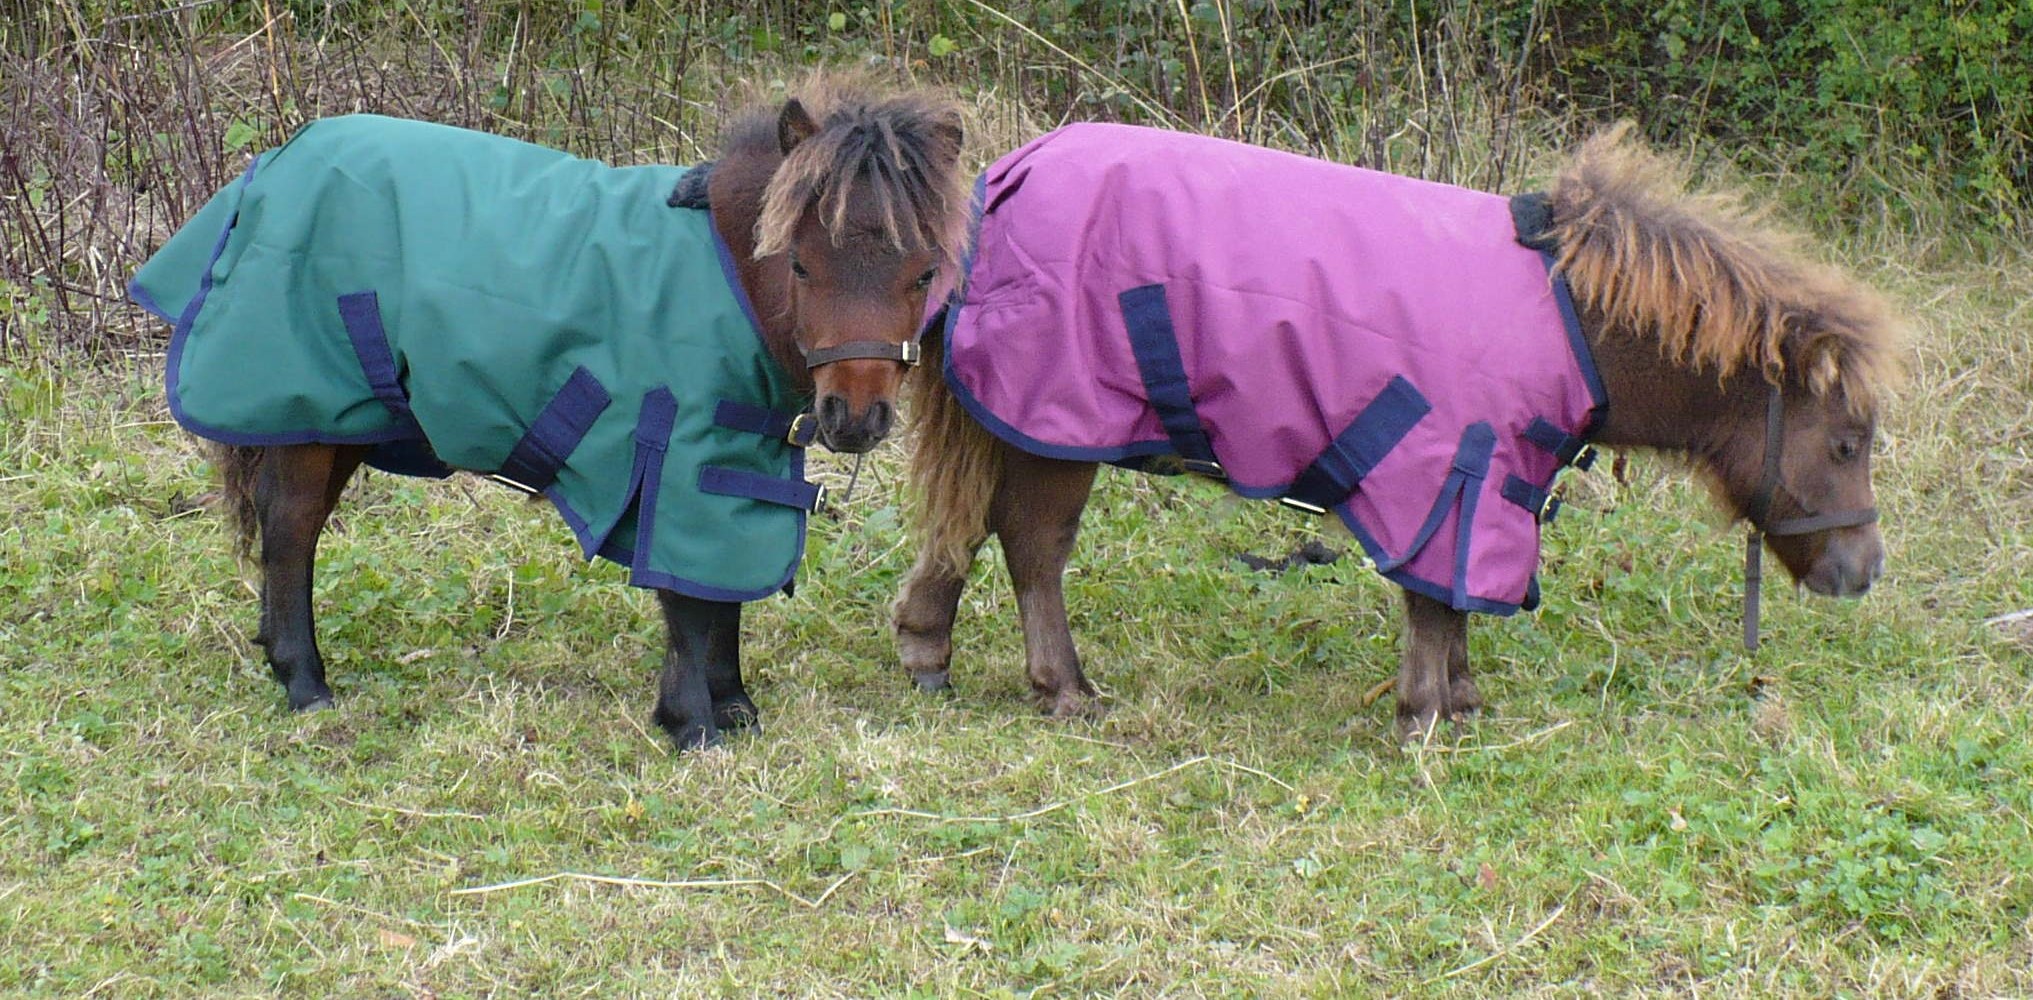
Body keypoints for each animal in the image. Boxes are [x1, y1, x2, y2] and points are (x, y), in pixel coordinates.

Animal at [130, 77, 968, 751]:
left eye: (924, 271)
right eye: (800, 264)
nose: (854, 417)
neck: (724, 267)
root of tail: (270, 166)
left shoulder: (735, 457)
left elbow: (722, 587)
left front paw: (733, 707)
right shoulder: (674, 455)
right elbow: (684, 597)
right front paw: (692, 724)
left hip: (336, 420)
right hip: (306, 404)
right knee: (292, 527)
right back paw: (306, 682)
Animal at [894, 122, 1902, 738]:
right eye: (1844, 444)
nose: (1863, 572)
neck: (1571, 320)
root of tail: (1003, 181)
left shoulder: (1486, 484)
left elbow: (1455, 598)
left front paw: (1458, 700)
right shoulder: (1447, 472)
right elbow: (1433, 599)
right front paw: (1425, 714)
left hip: (1022, 425)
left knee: (970, 526)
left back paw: (927, 650)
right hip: (1058, 427)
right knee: (1032, 546)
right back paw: (1063, 688)